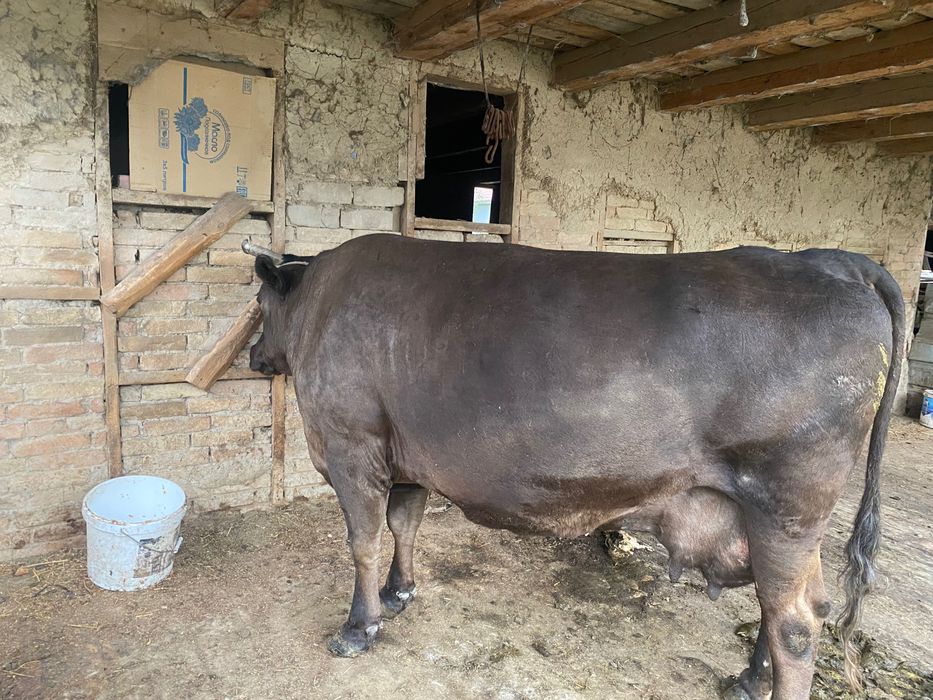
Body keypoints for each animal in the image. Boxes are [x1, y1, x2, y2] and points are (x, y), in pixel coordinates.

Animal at [243, 234, 903, 700]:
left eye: (257, 302)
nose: (252, 355)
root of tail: (835, 262)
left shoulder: (351, 448)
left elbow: (363, 541)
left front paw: (359, 627)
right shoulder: (405, 458)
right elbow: (405, 526)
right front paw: (398, 592)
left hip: (785, 505)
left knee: (796, 622)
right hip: (780, 521)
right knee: (782, 604)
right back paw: (746, 680)